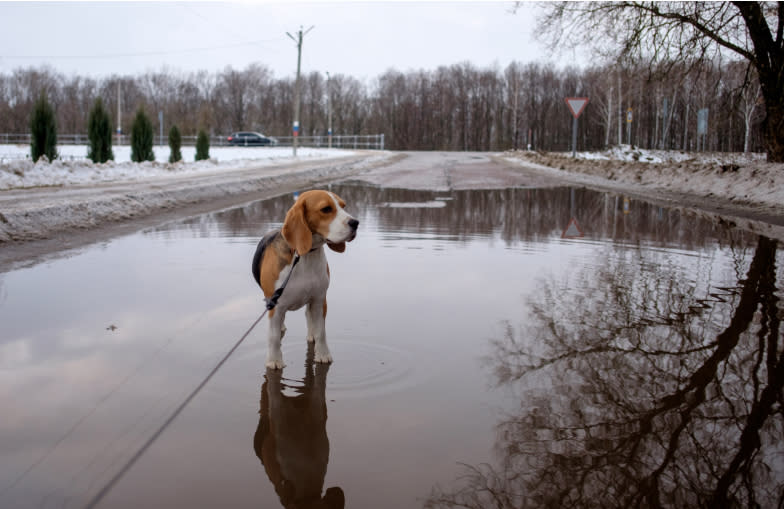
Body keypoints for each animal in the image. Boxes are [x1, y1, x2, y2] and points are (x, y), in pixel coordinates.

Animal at [253, 189, 360, 368]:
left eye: (343, 206)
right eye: (326, 209)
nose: (356, 223)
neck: (305, 256)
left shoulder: (319, 300)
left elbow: (321, 331)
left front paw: (322, 354)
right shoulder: (276, 305)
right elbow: (273, 337)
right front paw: (274, 360)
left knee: (309, 318)